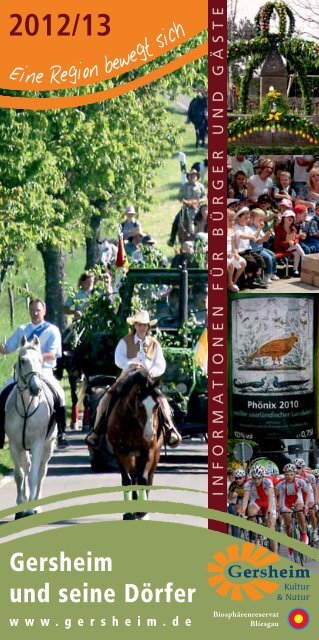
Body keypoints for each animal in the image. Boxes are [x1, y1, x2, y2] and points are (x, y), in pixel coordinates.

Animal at [4, 338, 57, 516]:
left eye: (40, 360)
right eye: (23, 360)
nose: (35, 388)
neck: (27, 406)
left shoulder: (37, 444)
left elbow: (34, 476)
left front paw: (31, 508)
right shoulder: (14, 444)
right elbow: (19, 475)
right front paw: (21, 506)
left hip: (48, 446)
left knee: (41, 471)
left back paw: (36, 505)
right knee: (26, 468)